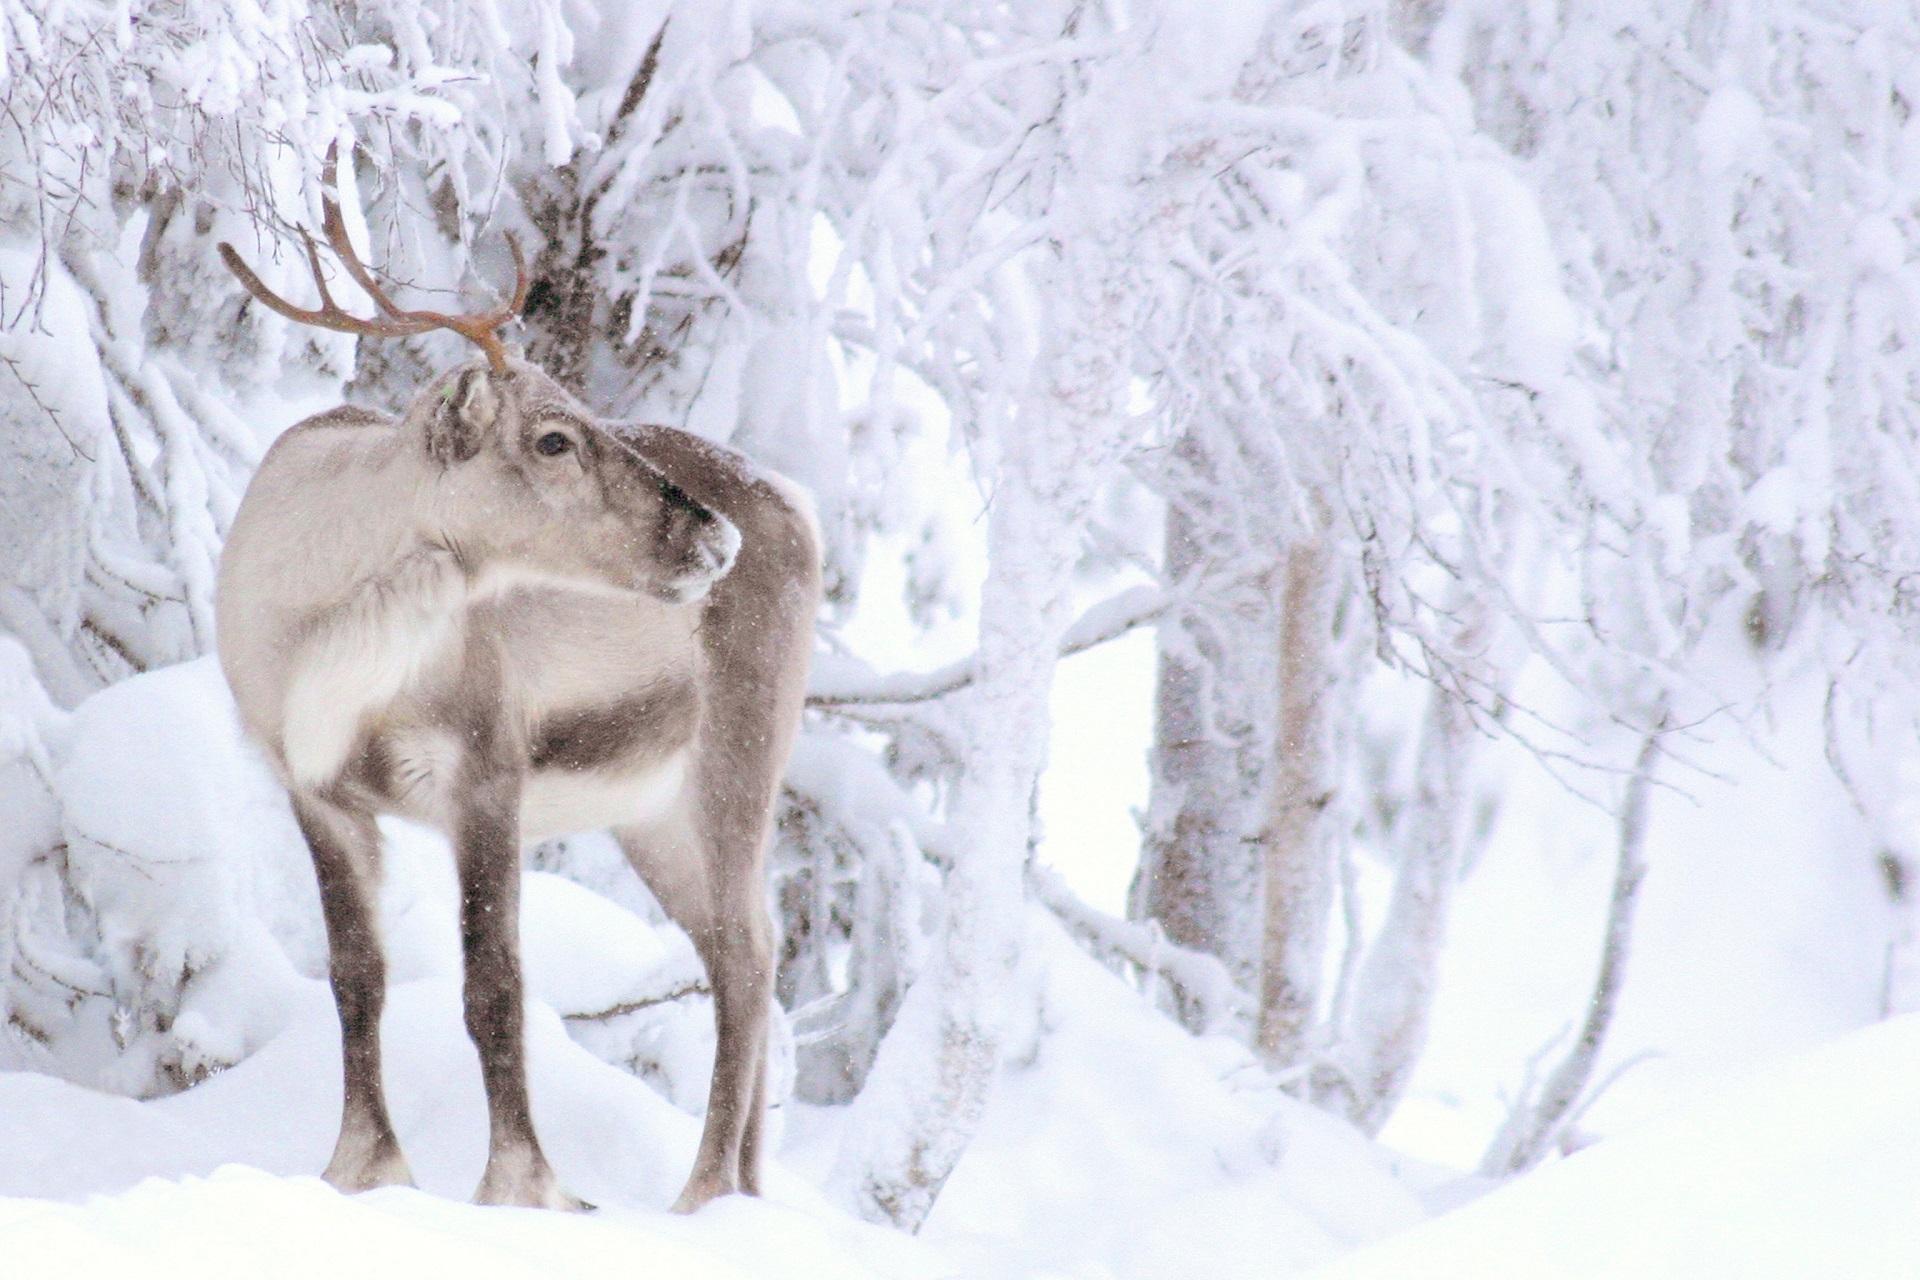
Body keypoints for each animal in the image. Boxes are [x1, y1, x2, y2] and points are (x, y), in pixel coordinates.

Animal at [212, 154, 820, 1213]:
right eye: (552, 440)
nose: (715, 537)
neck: (326, 632)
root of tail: (798, 509)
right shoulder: (315, 788)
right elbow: (355, 976)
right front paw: (361, 1168)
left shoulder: (486, 771)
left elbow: (493, 988)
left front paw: (527, 1188)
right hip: (651, 812)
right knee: (747, 948)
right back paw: (740, 1189)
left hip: (740, 756)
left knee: (746, 956)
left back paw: (699, 1195)